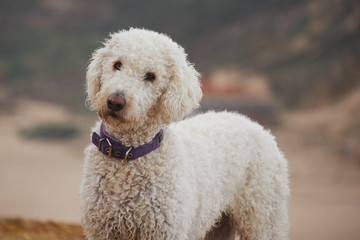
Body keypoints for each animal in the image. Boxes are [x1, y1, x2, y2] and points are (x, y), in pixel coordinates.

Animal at [79, 27, 290, 239]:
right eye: (117, 65)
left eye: (150, 76)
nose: (115, 101)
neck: (127, 154)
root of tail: (260, 128)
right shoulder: (102, 230)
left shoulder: (165, 230)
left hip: (263, 216)